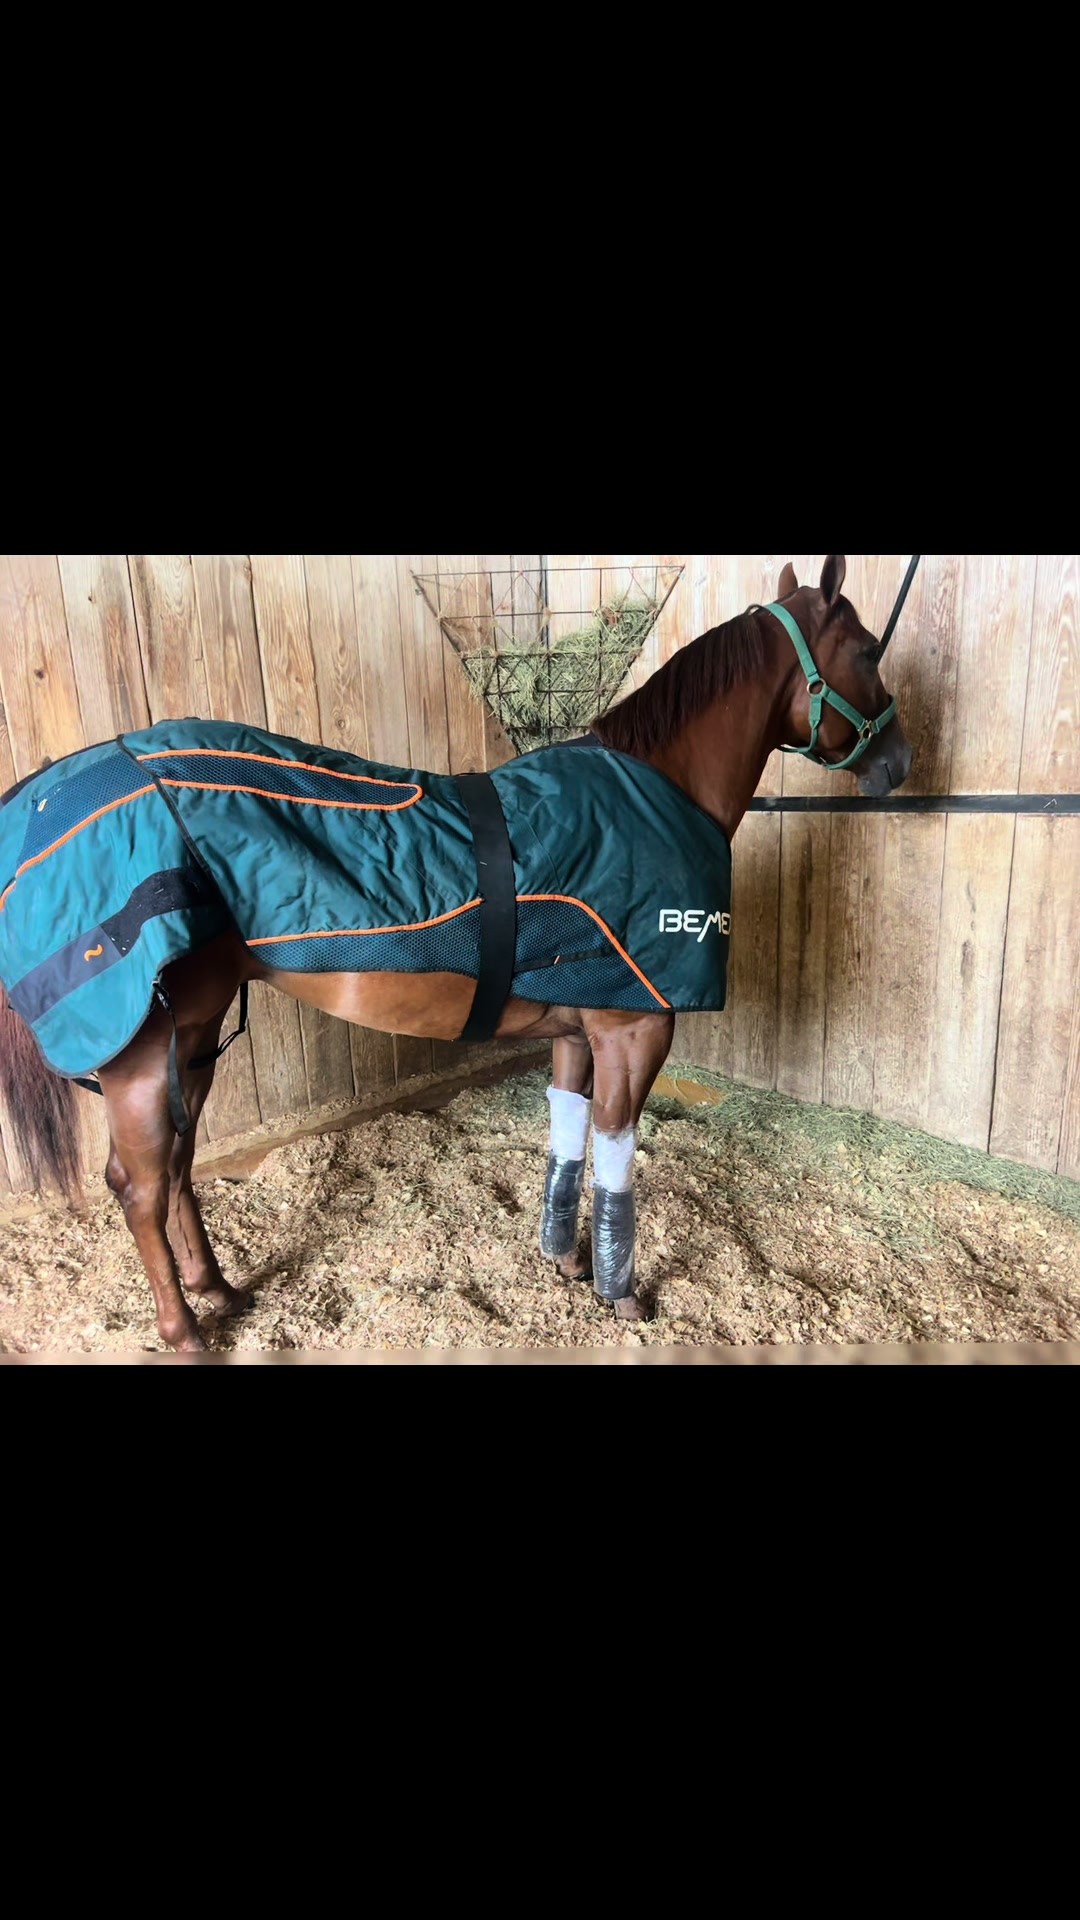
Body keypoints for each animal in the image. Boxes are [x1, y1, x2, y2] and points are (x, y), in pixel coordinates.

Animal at [0, 555, 912, 1351]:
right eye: (869, 649)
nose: (898, 762)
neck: (652, 795)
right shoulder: (636, 1030)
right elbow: (617, 1157)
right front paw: (621, 1295)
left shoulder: (578, 1031)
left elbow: (567, 1141)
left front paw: (563, 1261)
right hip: (140, 1050)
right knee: (140, 1185)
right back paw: (184, 1329)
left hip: (189, 1036)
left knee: (179, 1166)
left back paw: (217, 1290)